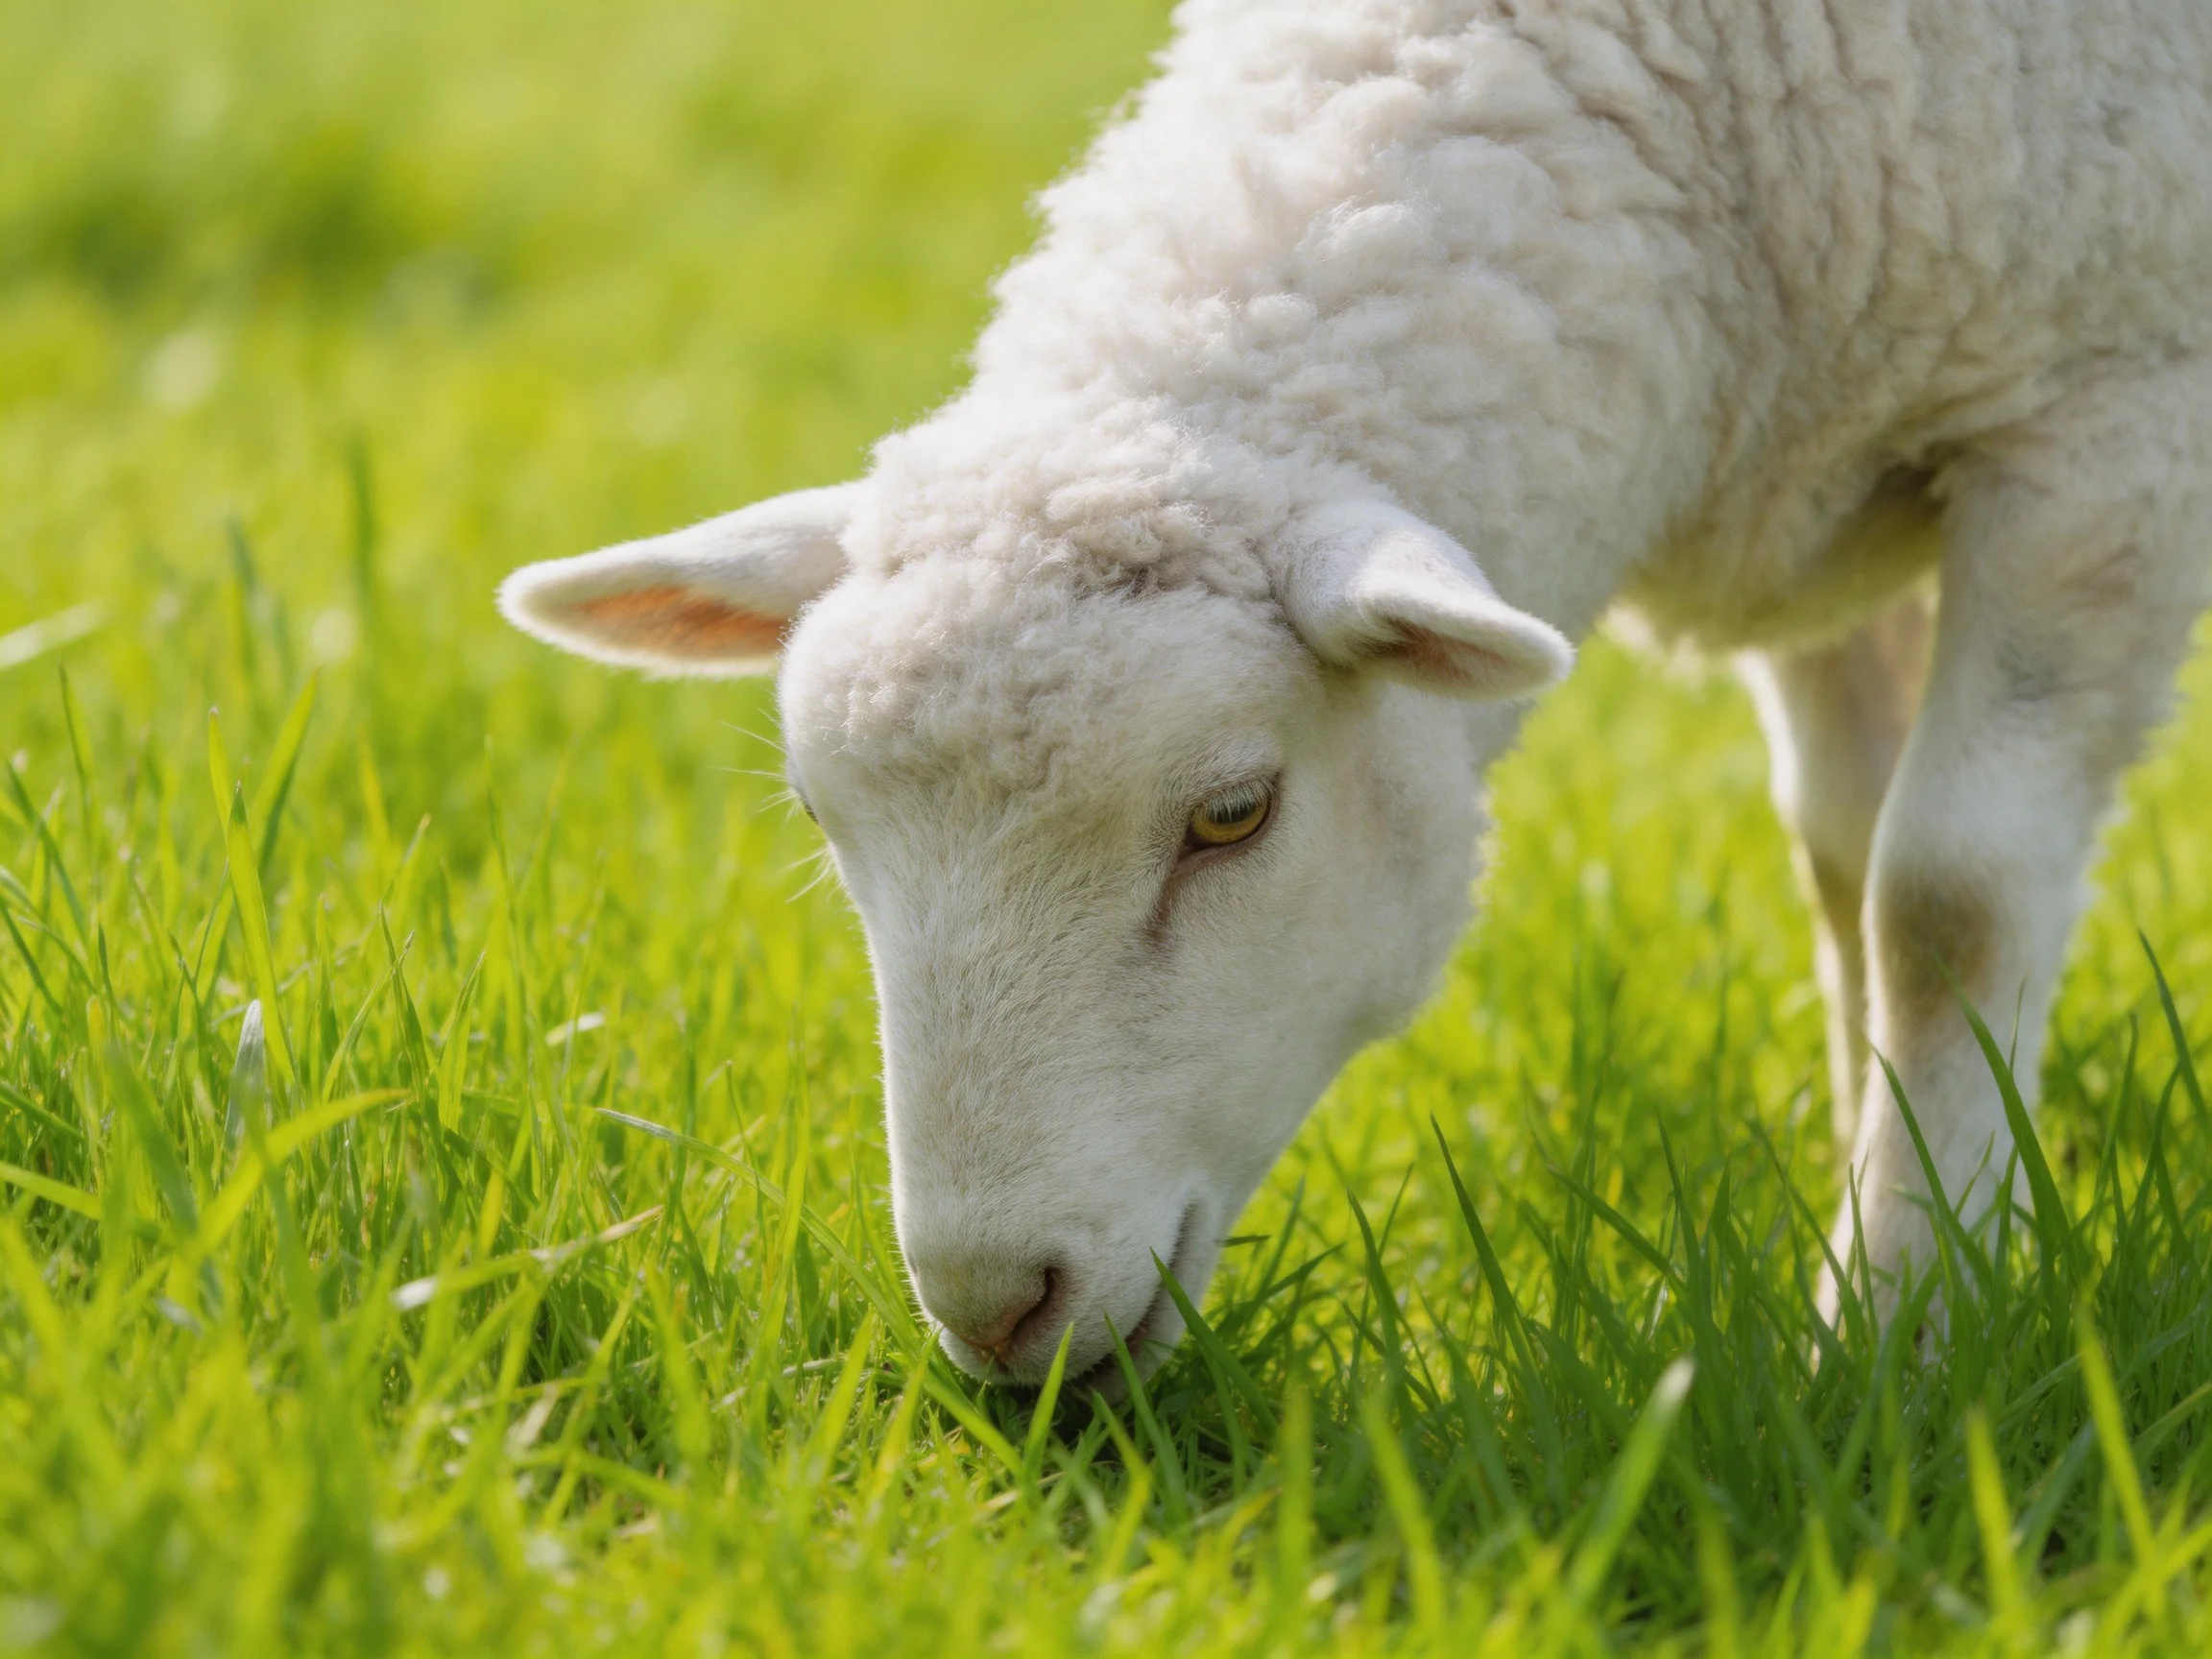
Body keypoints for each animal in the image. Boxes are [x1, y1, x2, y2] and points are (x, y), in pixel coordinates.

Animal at [502, 0, 2212, 1385]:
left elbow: (1943, 902)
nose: (995, 1311)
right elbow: (1846, 865)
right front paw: (1896, 1170)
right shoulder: (1824, 463)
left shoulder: (2108, 429)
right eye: (818, 818)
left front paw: (1906, 1315)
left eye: (1232, 814)